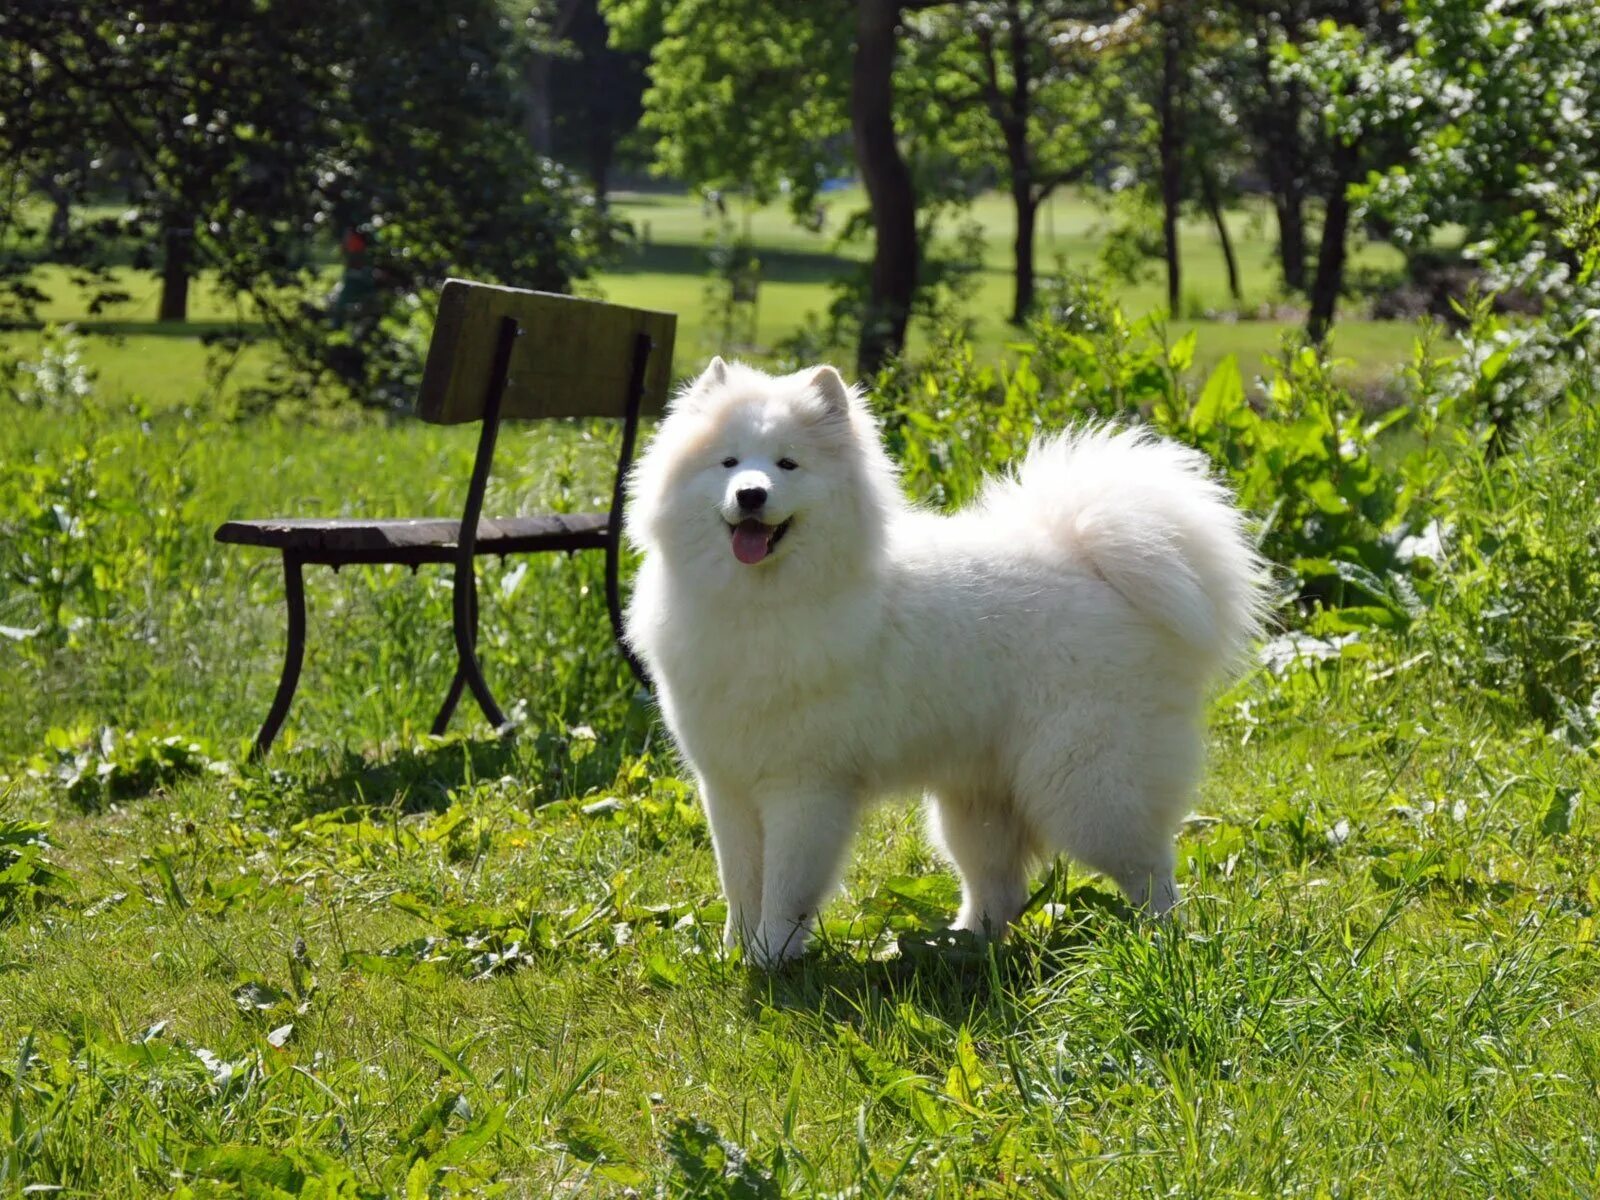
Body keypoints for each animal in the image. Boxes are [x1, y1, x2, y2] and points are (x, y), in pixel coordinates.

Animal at [624, 356, 1260, 966]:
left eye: (788, 464)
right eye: (729, 462)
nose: (750, 495)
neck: (758, 604)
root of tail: (1098, 566)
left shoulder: (804, 789)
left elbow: (783, 888)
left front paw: (769, 957)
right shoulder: (727, 785)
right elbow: (740, 882)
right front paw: (733, 953)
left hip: (1089, 789)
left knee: (1152, 873)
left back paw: (1163, 945)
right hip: (976, 802)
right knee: (998, 890)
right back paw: (961, 947)